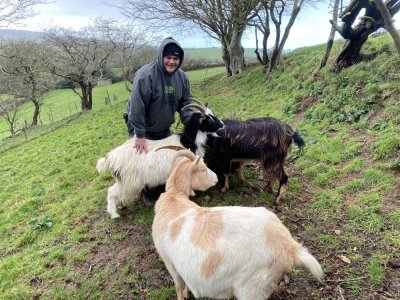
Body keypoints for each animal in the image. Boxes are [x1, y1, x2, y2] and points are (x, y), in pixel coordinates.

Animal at [95, 101, 223, 218]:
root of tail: (110, 158)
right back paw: (114, 214)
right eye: (208, 119)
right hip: (128, 181)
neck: (186, 142)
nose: (222, 124)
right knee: (111, 191)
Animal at [152, 150, 324, 300]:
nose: (216, 178)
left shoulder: (169, 262)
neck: (174, 198)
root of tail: (290, 248)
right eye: (203, 169)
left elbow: (178, 286)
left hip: (251, 289)